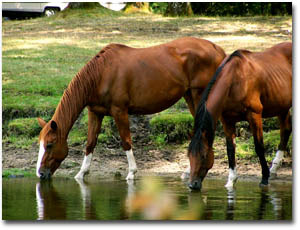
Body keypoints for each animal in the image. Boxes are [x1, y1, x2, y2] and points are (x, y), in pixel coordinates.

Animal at [35, 37, 225, 180]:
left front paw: (132, 173)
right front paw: (81, 173)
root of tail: (216, 49)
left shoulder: (120, 112)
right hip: (189, 96)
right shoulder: (95, 112)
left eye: (50, 144)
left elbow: (126, 141)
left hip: (199, 96)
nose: (41, 174)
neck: (102, 74)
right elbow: (90, 143)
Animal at [189, 42, 292, 190]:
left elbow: (259, 146)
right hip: (281, 106)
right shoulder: (227, 121)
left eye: (203, 156)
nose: (193, 185)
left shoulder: (254, 116)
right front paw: (231, 181)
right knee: (286, 130)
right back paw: (274, 169)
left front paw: (264, 178)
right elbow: (230, 149)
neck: (236, 79)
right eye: (189, 156)